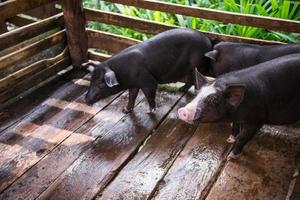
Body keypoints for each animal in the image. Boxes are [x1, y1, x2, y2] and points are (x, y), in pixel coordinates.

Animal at [83, 28, 212, 112]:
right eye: (91, 80)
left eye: (101, 84)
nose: (86, 99)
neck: (123, 73)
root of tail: (208, 41)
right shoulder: (134, 84)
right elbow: (132, 96)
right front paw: (125, 110)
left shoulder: (148, 81)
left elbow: (149, 95)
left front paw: (150, 111)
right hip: (190, 67)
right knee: (191, 77)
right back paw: (181, 89)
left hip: (199, 63)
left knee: (197, 77)